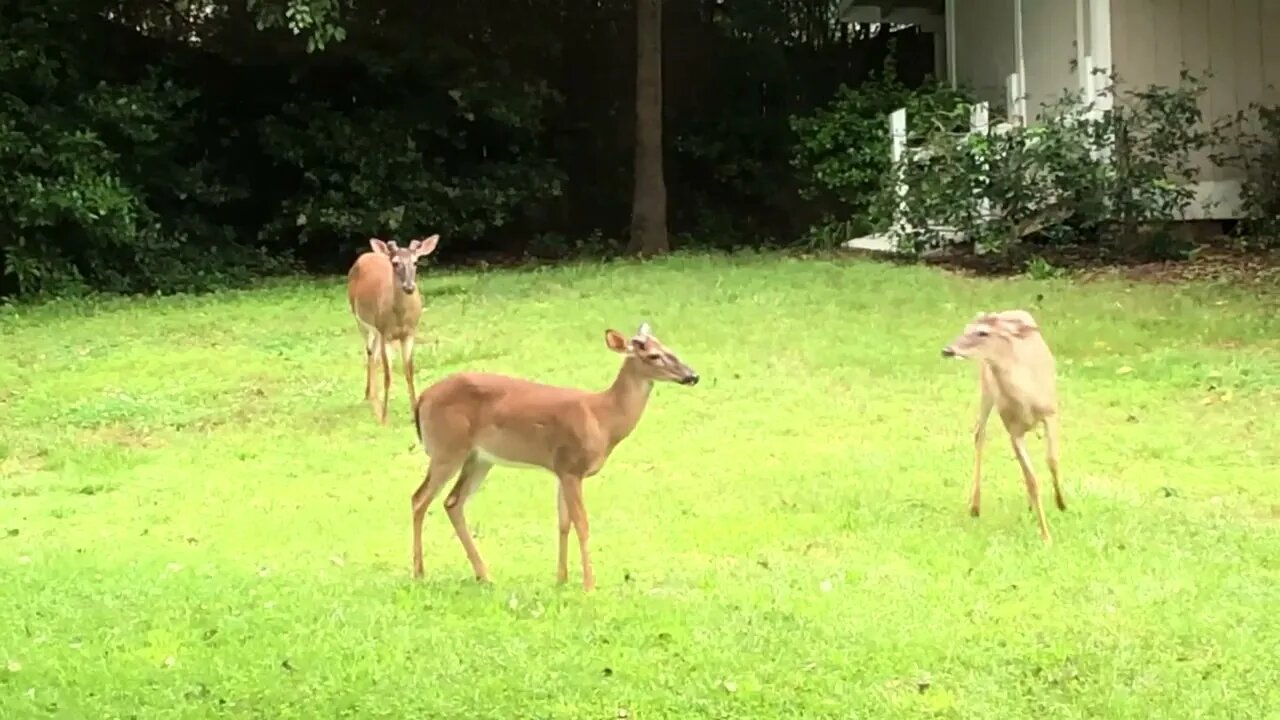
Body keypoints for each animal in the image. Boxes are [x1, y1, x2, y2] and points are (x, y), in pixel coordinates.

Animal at [345, 235, 440, 422]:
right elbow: (388, 376)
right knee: (369, 353)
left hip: (376, 330)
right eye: (395, 263)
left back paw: (371, 396)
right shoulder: (385, 334)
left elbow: (409, 372)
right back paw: (371, 398)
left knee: (373, 356)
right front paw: (384, 417)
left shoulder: (409, 334)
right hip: (360, 319)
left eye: (416, 262)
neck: (399, 318)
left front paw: (414, 412)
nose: (409, 287)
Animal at [409, 320, 701, 589]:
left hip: (479, 458)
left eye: (668, 348)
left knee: (452, 502)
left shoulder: (560, 469)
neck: (603, 418)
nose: (693, 375)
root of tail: (422, 398)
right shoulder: (572, 467)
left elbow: (563, 523)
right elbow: (582, 524)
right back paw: (419, 572)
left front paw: (561, 579)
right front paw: (589, 585)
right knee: (419, 498)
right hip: (447, 449)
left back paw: (484, 574)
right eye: (653, 355)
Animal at [942, 307, 1070, 538]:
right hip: (986, 386)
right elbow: (1032, 479)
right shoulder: (1013, 429)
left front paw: (1061, 503)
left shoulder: (1051, 413)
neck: (1027, 398)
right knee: (979, 433)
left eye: (982, 333)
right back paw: (975, 507)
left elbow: (1052, 461)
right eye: (965, 328)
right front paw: (1046, 535)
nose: (947, 350)